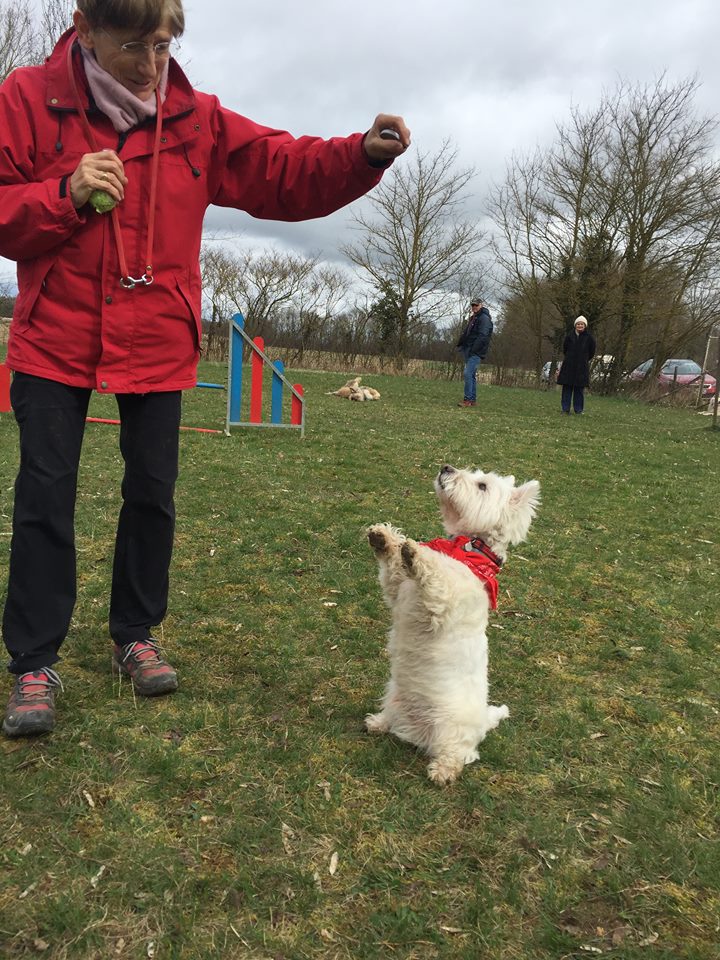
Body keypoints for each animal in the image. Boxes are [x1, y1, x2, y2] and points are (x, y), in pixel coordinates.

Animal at [366, 464, 540, 788]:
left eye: (482, 485)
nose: (445, 468)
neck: (470, 550)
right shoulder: (398, 590)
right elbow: (393, 571)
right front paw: (384, 538)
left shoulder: (441, 599)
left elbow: (435, 571)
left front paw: (416, 552)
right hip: (393, 695)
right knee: (391, 717)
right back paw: (378, 722)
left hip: (452, 730)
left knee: (459, 754)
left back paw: (442, 771)